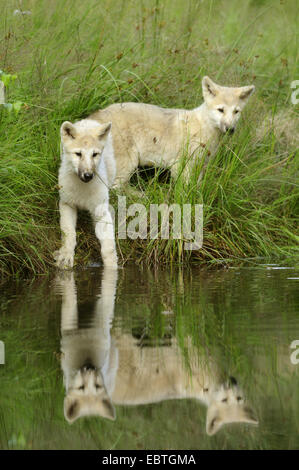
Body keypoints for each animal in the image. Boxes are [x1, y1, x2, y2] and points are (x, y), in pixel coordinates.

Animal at [54, 118, 118, 268]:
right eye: (78, 154)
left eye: (94, 154)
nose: (88, 175)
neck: (83, 189)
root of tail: (89, 121)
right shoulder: (67, 205)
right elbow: (69, 233)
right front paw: (66, 256)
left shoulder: (101, 211)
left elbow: (108, 246)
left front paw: (112, 268)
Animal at [89, 75, 255, 185]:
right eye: (221, 110)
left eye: (236, 112)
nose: (230, 129)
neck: (204, 127)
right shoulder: (181, 166)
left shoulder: (200, 166)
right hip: (129, 164)